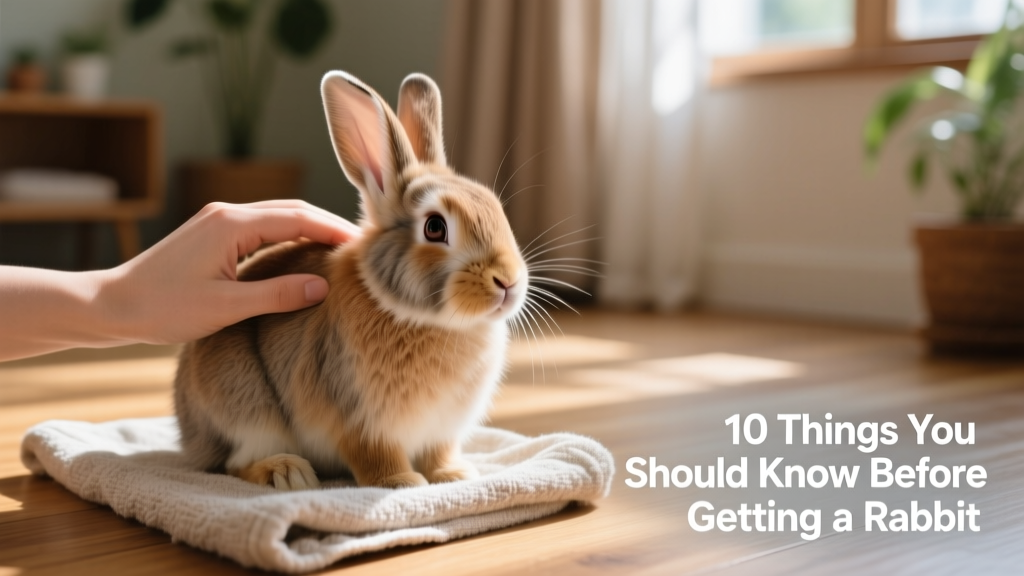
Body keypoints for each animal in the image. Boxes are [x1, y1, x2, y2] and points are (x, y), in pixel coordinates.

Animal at [173, 70, 527, 490]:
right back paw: (287, 473)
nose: (508, 282)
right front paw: (402, 483)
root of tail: (190, 431)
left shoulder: (440, 431)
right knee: (235, 462)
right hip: (246, 404)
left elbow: (438, 453)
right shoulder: (359, 418)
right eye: (435, 227)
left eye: (496, 207)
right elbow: (374, 455)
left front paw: (454, 475)